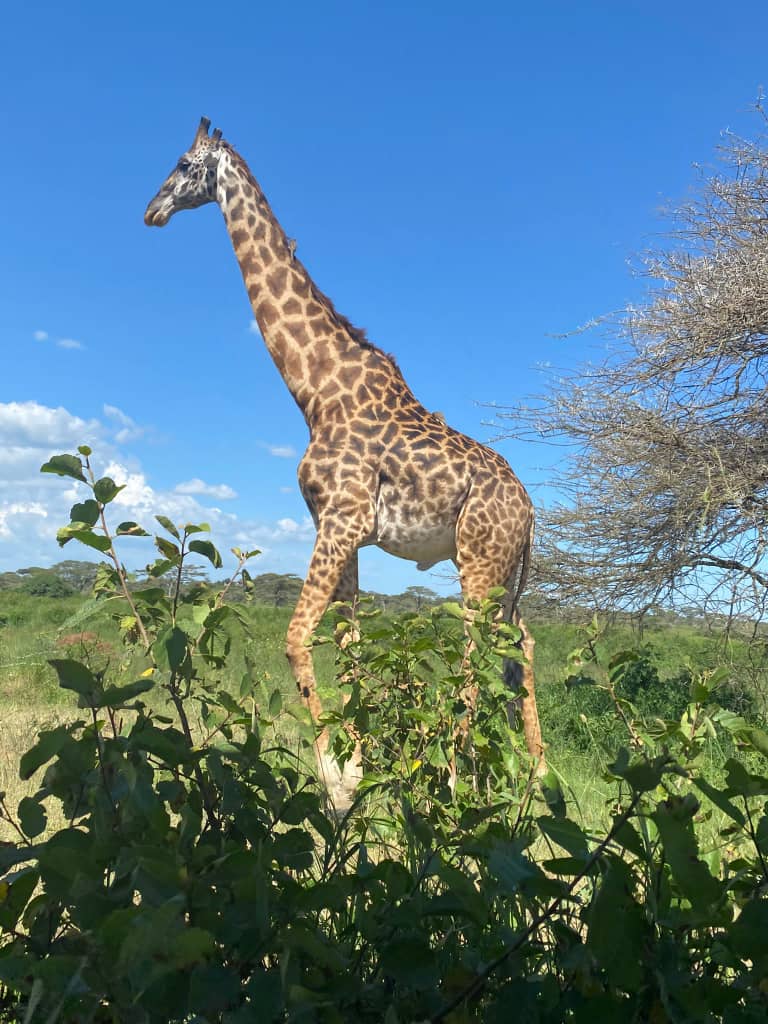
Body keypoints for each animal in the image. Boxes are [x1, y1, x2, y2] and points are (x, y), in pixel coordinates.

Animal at [144, 117, 545, 803]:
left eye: (182, 163)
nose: (152, 210)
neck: (314, 389)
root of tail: (531, 510)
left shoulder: (342, 521)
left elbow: (297, 637)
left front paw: (334, 778)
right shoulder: (340, 529)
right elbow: (349, 643)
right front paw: (358, 770)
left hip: (479, 562)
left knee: (479, 654)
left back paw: (457, 775)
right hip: (497, 571)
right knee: (521, 644)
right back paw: (535, 777)